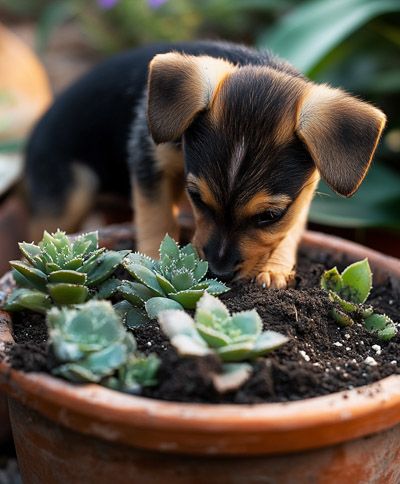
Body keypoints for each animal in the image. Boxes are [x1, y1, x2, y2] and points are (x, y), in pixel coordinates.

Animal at [24, 40, 384, 288]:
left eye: (269, 216)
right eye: (196, 198)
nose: (219, 272)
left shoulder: (303, 193)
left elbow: (290, 229)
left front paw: (276, 269)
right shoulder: (147, 159)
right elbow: (155, 216)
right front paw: (153, 260)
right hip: (71, 192)